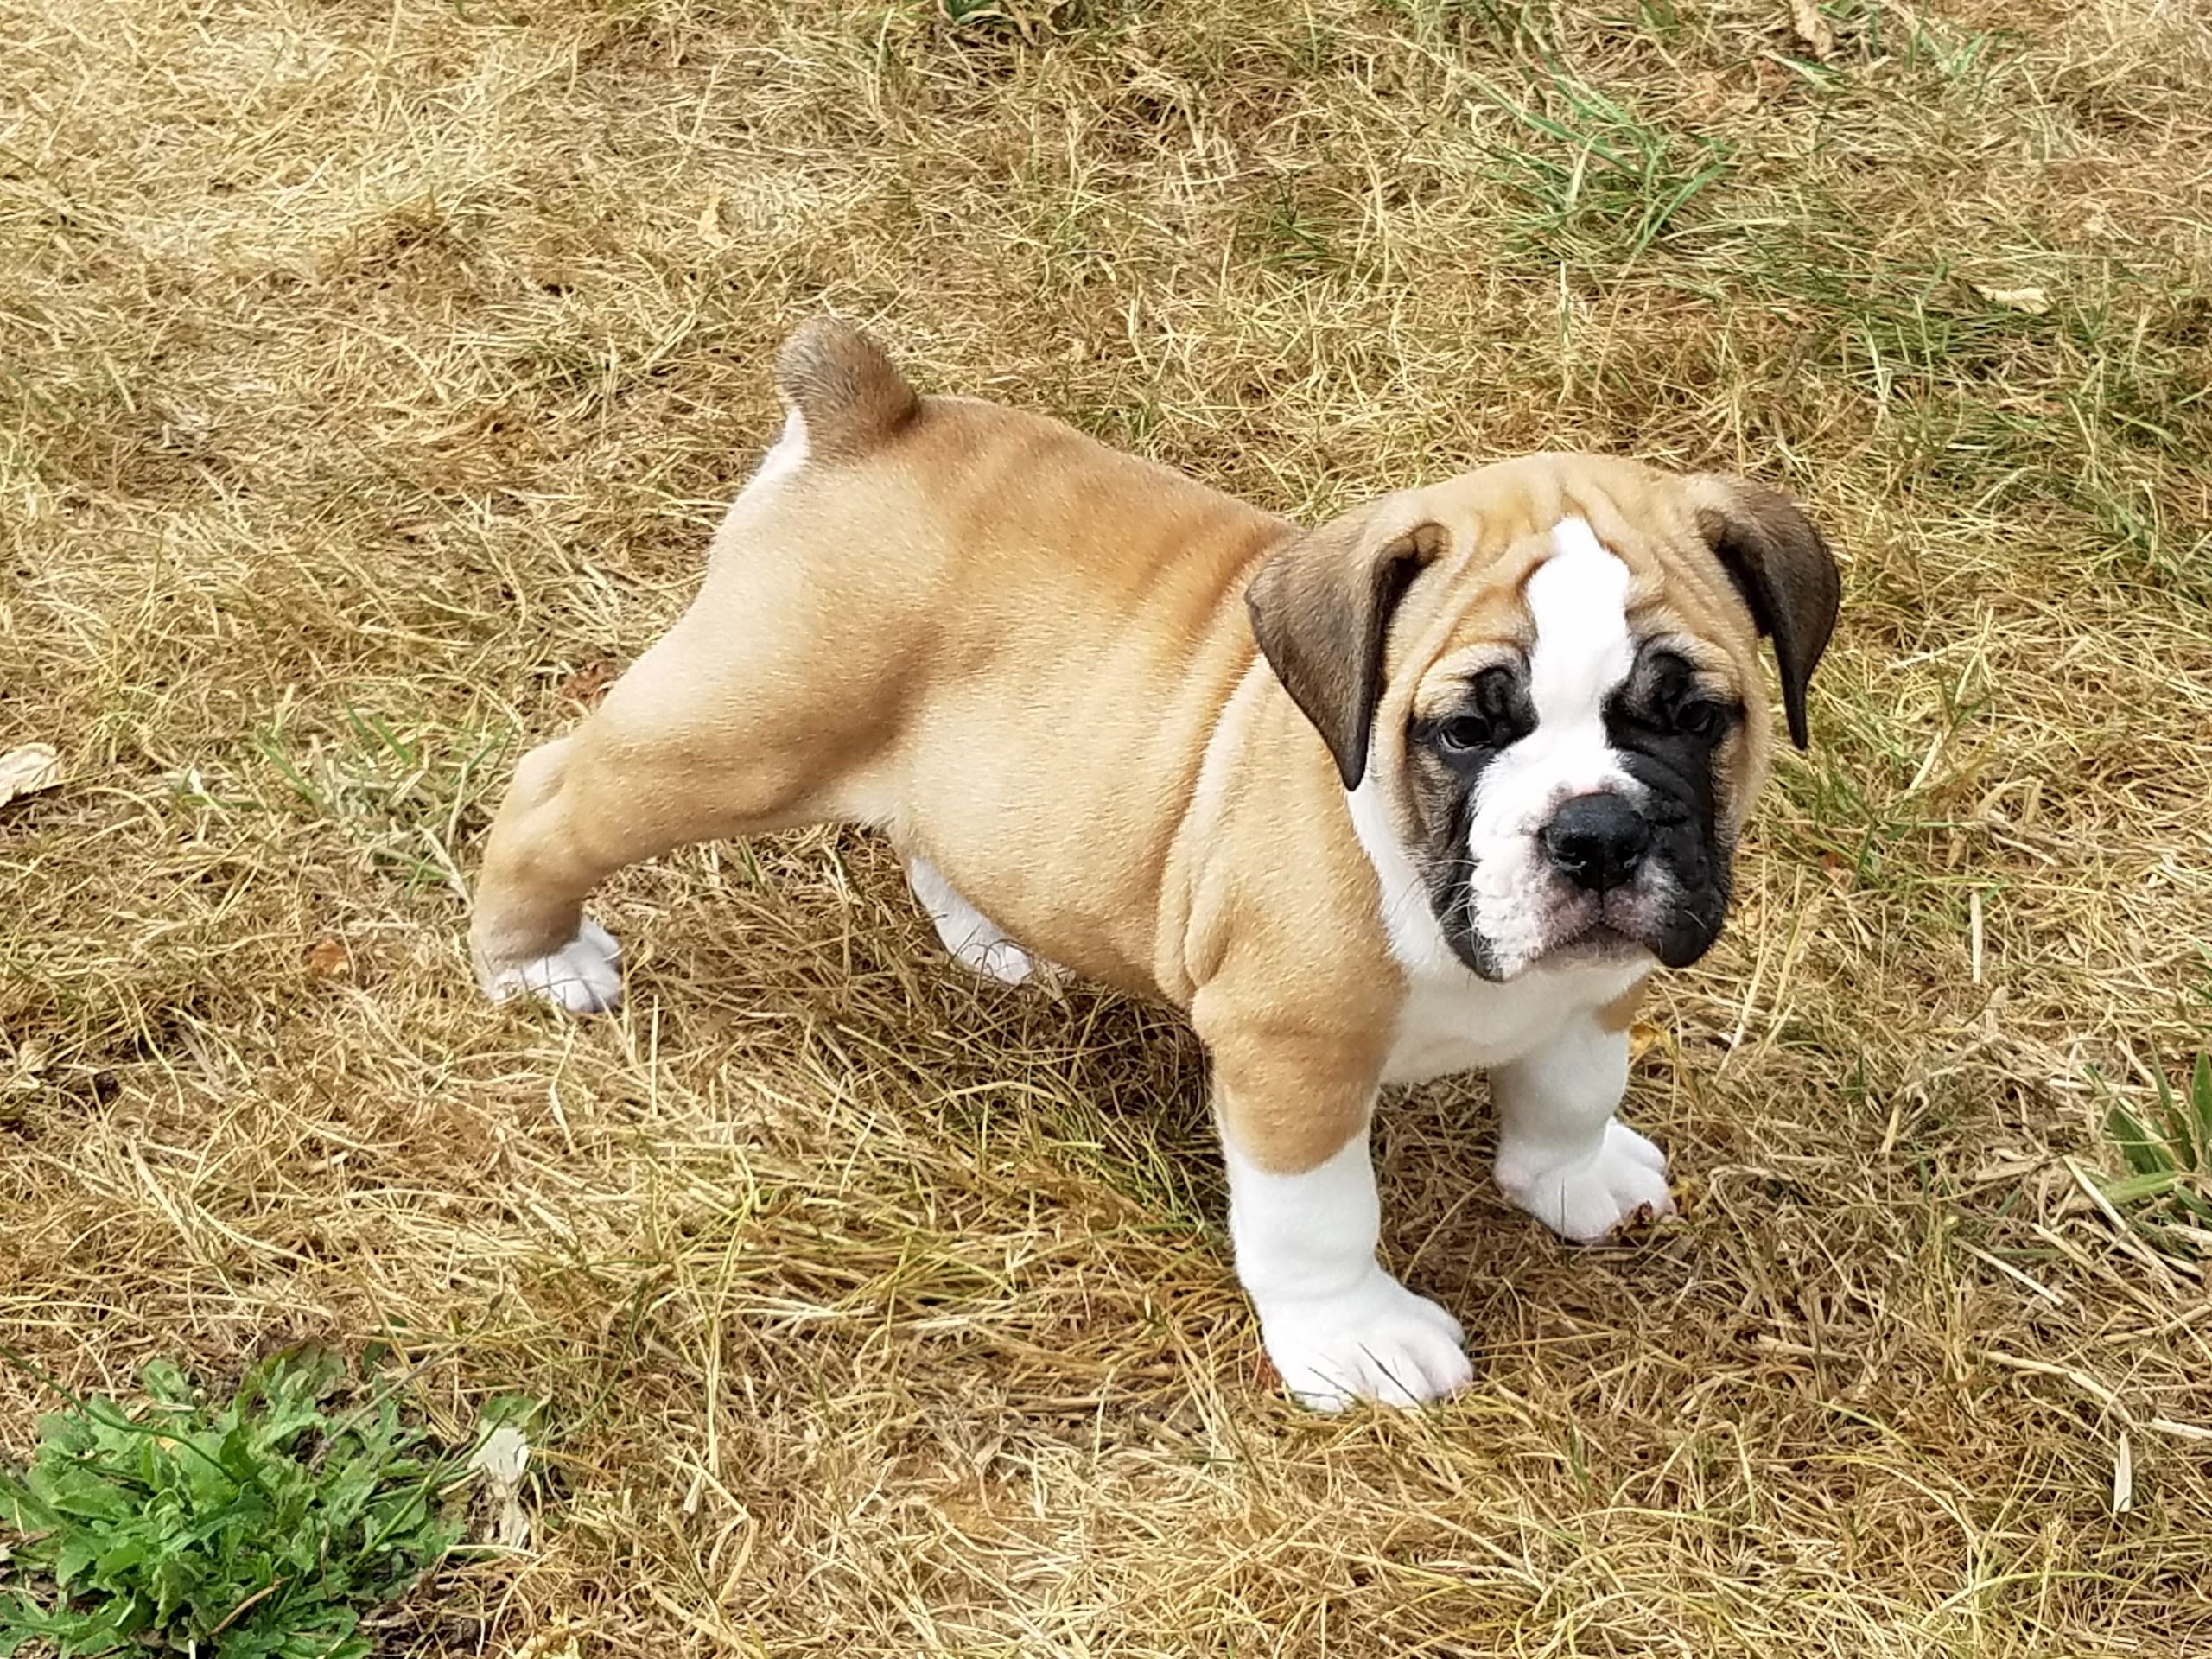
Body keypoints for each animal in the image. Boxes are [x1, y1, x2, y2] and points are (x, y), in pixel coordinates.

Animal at [467, 321, 1831, 1415]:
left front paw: (1574, 1176)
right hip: (737, 732)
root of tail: (871, 415)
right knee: (552, 797)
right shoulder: (1292, 1056)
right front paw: (1356, 1344)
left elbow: (1572, 1087)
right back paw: (538, 961)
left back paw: (991, 938)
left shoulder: (1598, 983)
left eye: (1693, 716)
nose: (1595, 832)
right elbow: (1318, 1216)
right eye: (1464, 731)